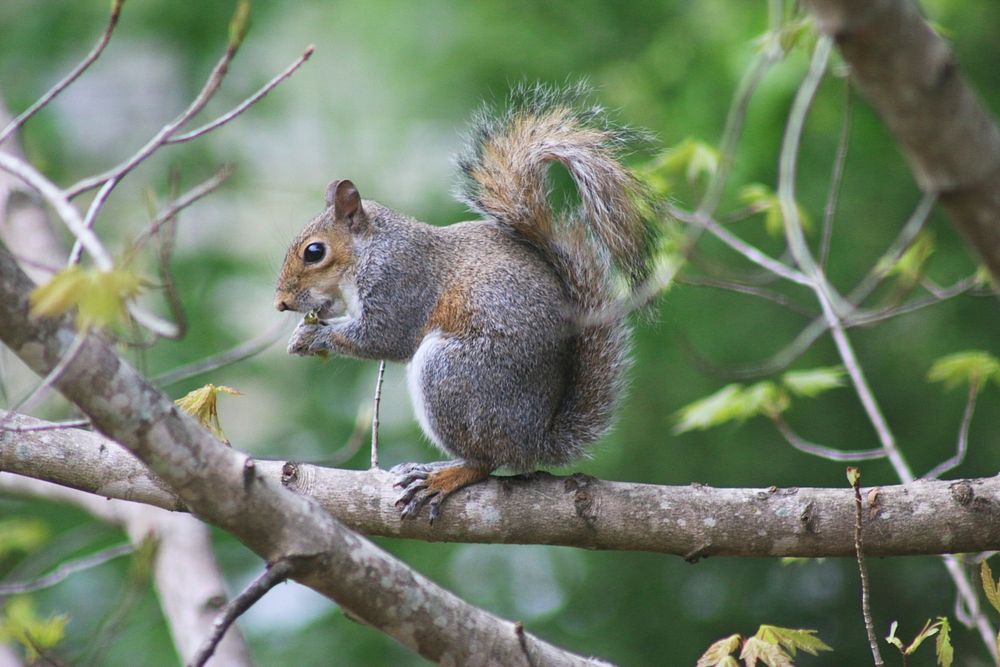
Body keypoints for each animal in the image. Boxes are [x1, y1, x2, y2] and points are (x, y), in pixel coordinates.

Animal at [278, 83, 660, 520]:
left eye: (314, 252)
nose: (281, 303)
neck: (371, 250)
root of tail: (534, 440)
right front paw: (301, 332)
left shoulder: (400, 283)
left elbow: (383, 337)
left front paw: (313, 338)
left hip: (453, 375)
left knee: (486, 461)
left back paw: (444, 476)